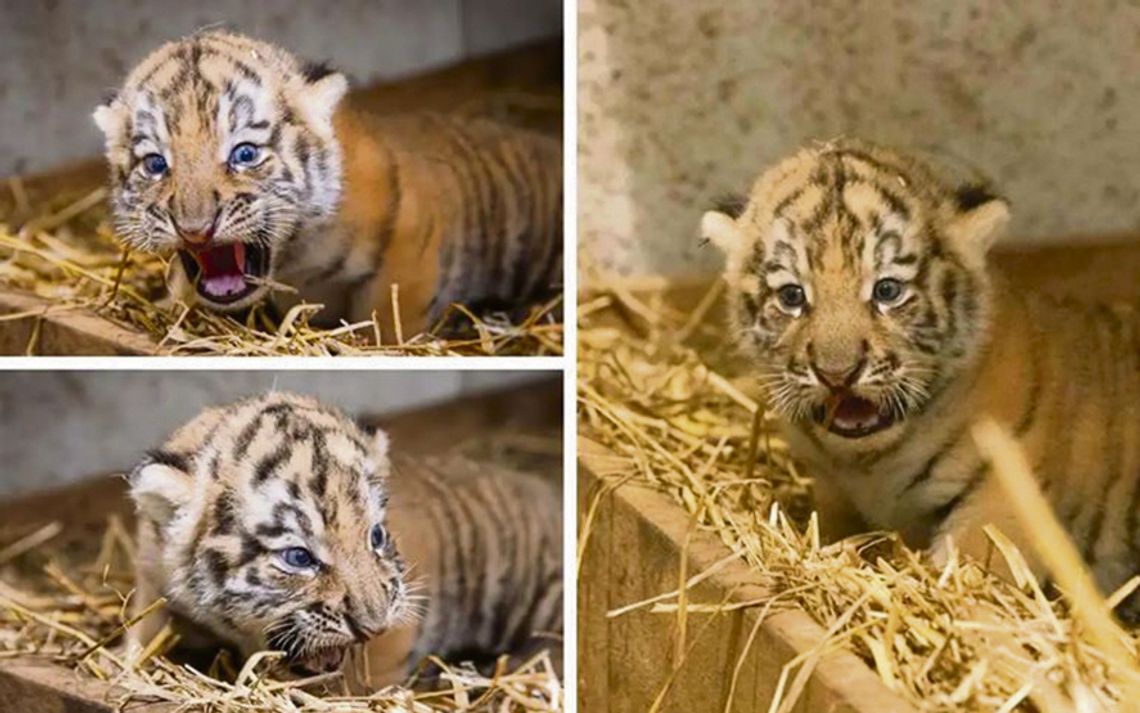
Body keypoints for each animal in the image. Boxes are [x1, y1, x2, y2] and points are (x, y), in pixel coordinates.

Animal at [93, 30, 560, 335]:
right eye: (156, 164)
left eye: (244, 154)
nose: (195, 230)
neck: (292, 261)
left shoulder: (410, 235)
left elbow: (388, 319)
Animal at [702, 143, 1140, 606]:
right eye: (791, 296)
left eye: (887, 291)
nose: (837, 374)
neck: (868, 464)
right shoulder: (834, 490)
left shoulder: (1003, 501)